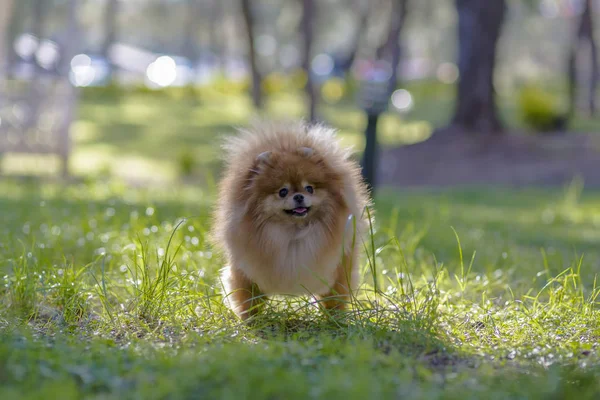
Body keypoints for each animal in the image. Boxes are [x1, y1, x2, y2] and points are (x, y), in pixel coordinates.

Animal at [211, 120, 370, 320]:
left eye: (309, 188)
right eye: (282, 192)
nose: (299, 196)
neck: (293, 233)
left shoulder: (338, 267)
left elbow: (334, 298)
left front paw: (334, 319)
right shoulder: (245, 271)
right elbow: (248, 300)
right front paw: (252, 320)